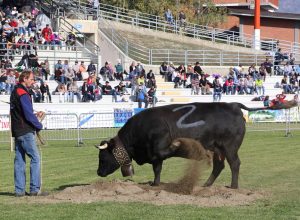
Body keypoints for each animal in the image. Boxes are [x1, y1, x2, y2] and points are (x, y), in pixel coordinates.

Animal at [96, 102, 270, 188]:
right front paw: (155, 183)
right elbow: (157, 169)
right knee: (219, 166)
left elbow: (165, 154)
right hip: (218, 149)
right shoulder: (154, 157)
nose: (98, 172)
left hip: (230, 147)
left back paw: (233, 186)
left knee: (234, 164)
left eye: (102, 157)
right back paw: (207, 184)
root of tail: (233, 105)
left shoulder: (158, 150)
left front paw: (179, 145)